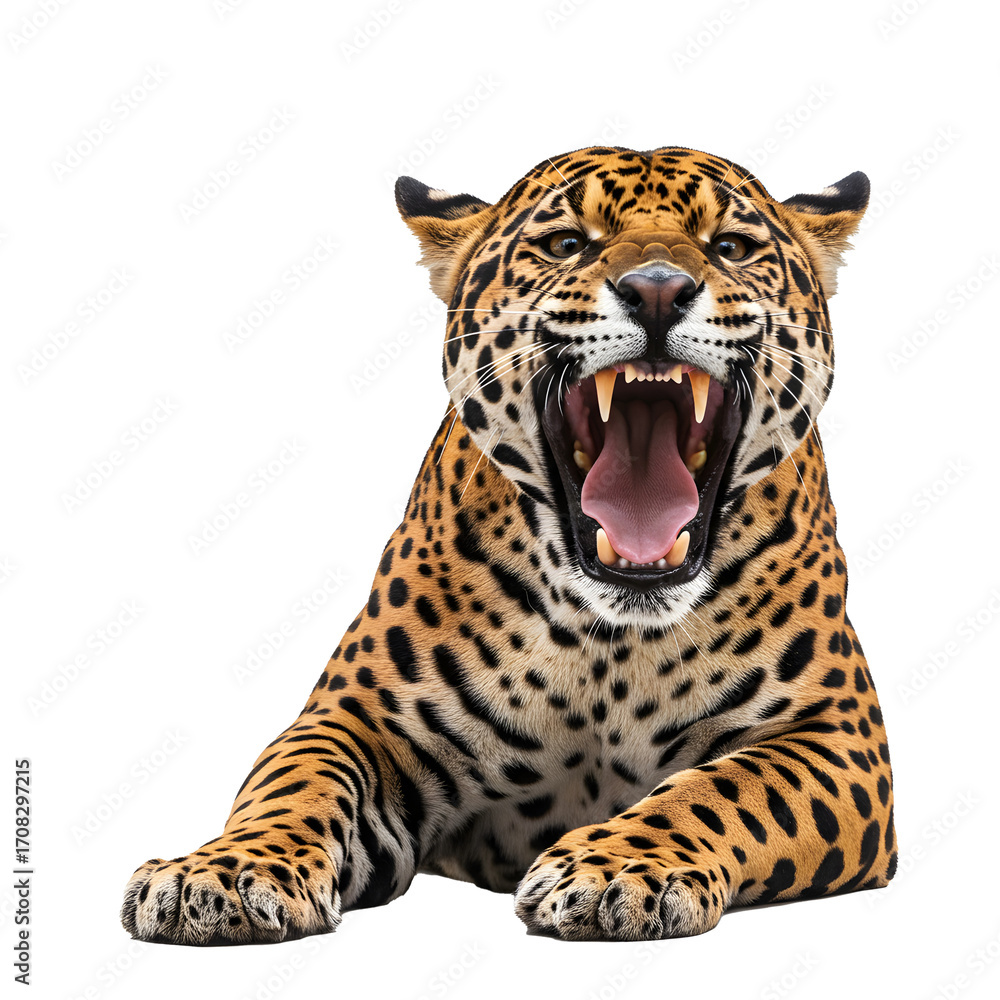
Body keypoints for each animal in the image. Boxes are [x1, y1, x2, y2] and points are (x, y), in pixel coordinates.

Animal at [121, 145, 896, 944]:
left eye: (731, 248)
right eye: (567, 243)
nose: (657, 291)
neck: (610, 645)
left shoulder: (836, 733)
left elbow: (722, 790)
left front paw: (617, 868)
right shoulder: (356, 714)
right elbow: (293, 784)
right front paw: (223, 872)